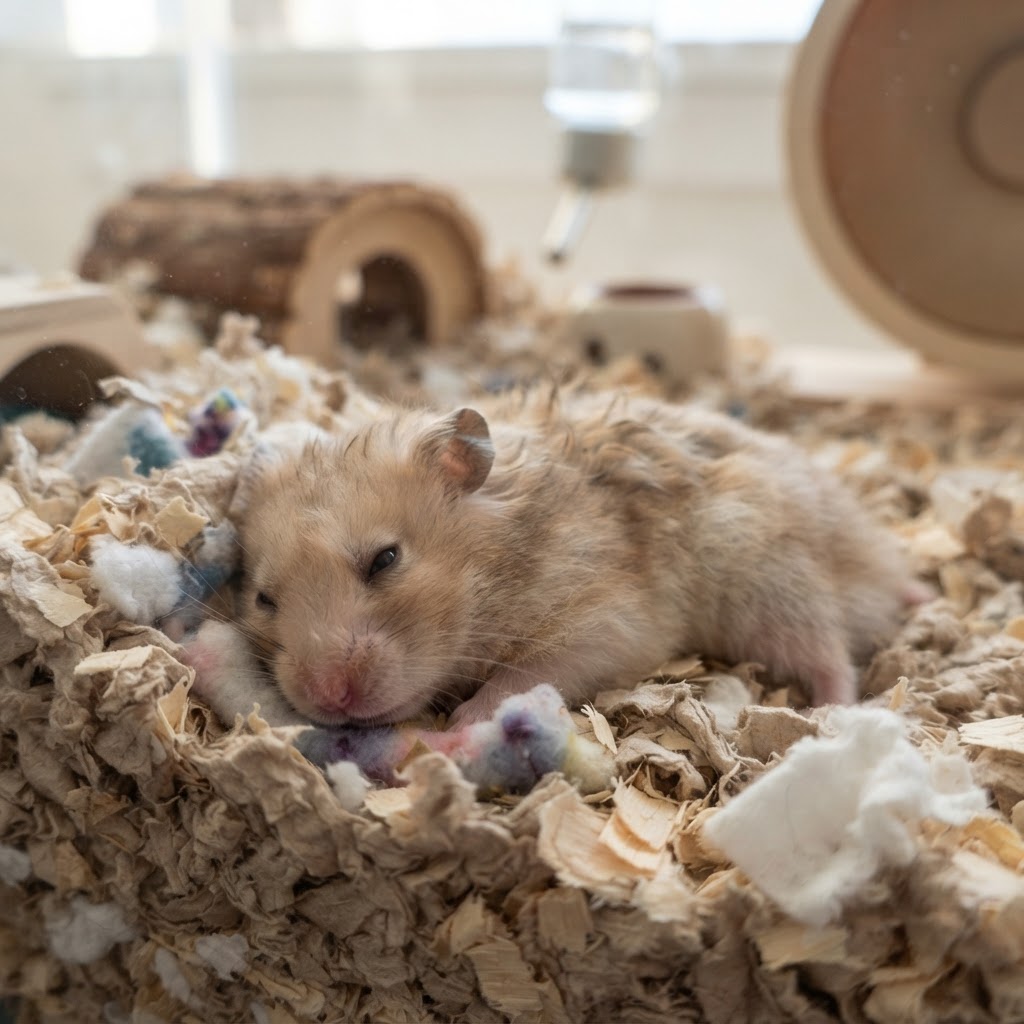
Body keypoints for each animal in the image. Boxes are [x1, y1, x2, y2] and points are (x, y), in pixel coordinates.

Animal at [235, 387, 920, 727]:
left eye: (385, 559)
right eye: (264, 599)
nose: (328, 698)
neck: (493, 571)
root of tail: (881, 565)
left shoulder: (607, 623)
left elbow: (519, 679)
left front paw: (455, 735)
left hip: (774, 581)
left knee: (832, 656)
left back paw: (831, 712)